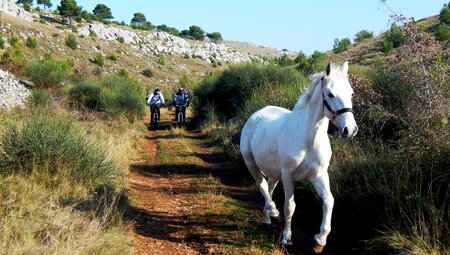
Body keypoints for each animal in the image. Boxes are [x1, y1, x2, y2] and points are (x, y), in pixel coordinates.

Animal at [239, 61, 358, 253]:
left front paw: (320, 240)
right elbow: (290, 206)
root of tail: (255, 115)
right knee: (262, 186)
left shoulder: (319, 175)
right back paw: (273, 211)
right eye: (330, 94)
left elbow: (329, 201)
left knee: (269, 188)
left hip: (275, 173)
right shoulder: (289, 175)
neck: (309, 139)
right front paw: (287, 238)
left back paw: (267, 219)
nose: (350, 129)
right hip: (252, 164)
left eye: (351, 93)